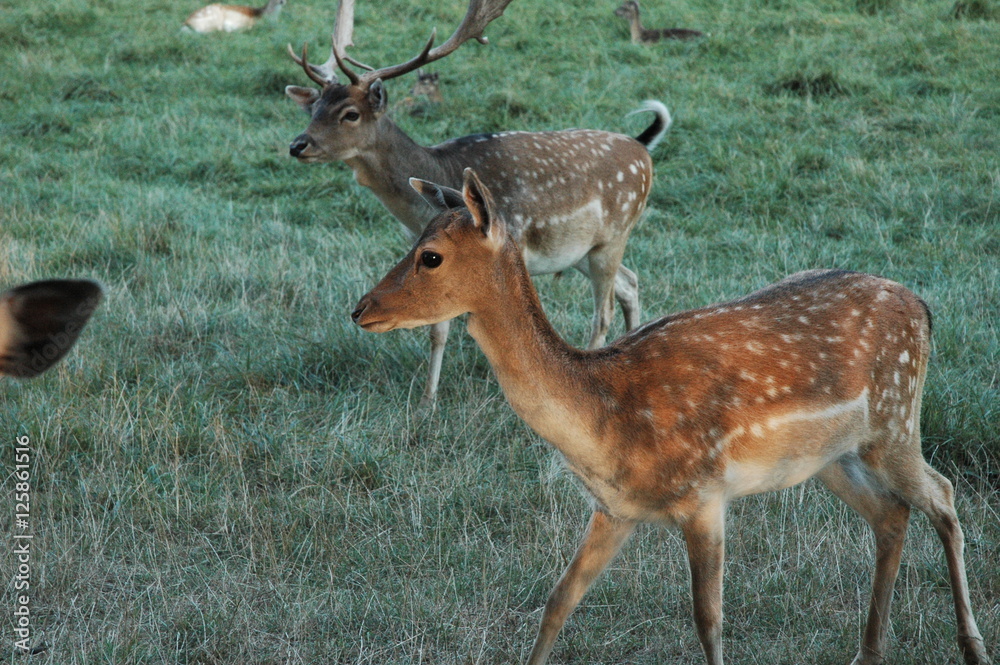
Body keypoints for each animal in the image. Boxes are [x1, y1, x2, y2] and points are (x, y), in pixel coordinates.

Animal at [282, 0, 672, 410]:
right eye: (313, 109)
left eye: (350, 114)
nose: (297, 145)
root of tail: (643, 150)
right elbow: (437, 328)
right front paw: (428, 401)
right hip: (581, 250)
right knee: (630, 283)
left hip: (615, 234)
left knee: (604, 311)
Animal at [348, 167, 988, 664]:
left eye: (430, 256)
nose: (360, 309)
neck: (604, 421)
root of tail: (923, 307)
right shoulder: (614, 508)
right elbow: (557, 603)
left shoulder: (704, 495)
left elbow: (708, 621)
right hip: (830, 457)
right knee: (891, 514)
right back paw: (868, 650)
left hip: (895, 420)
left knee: (943, 495)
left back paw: (972, 646)